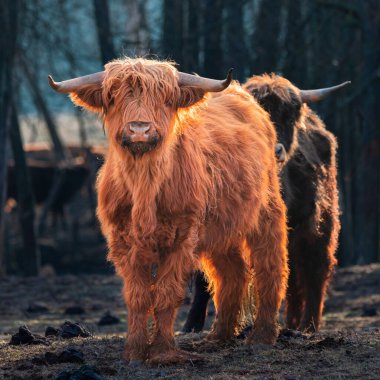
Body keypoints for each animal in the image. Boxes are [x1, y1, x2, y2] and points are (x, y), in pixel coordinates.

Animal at [49, 59, 288, 366]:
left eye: (164, 97)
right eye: (114, 96)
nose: (139, 129)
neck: (145, 184)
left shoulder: (182, 237)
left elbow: (166, 294)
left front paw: (162, 352)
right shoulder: (122, 241)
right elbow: (137, 296)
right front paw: (134, 353)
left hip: (266, 211)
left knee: (270, 266)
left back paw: (262, 338)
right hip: (220, 229)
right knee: (232, 273)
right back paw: (217, 337)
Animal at [184, 72, 348, 334]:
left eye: (288, 118)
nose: (275, 149)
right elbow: (204, 277)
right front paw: (192, 325)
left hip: (322, 224)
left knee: (316, 269)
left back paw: (308, 325)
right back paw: (292, 323)